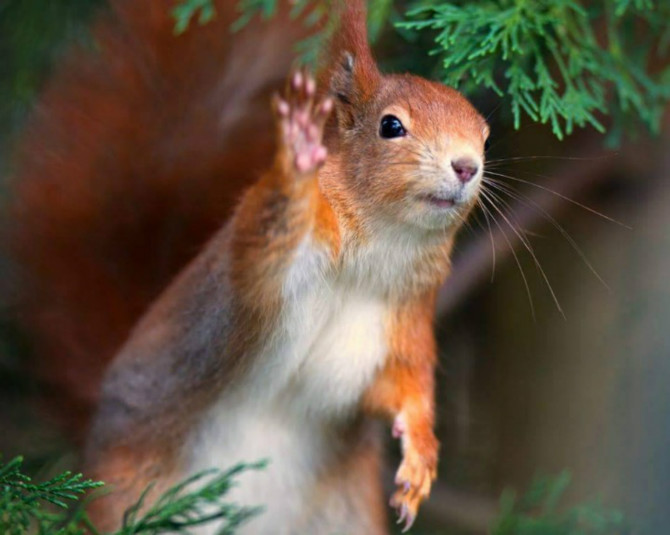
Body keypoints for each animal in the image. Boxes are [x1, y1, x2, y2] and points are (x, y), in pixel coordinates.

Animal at [10, 0, 490, 532]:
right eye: (391, 126)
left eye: (486, 137)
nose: (467, 166)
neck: (381, 249)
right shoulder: (258, 276)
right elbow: (263, 253)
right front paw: (296, 159)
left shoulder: (403, 322)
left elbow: (405, 385)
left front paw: (421, 452)